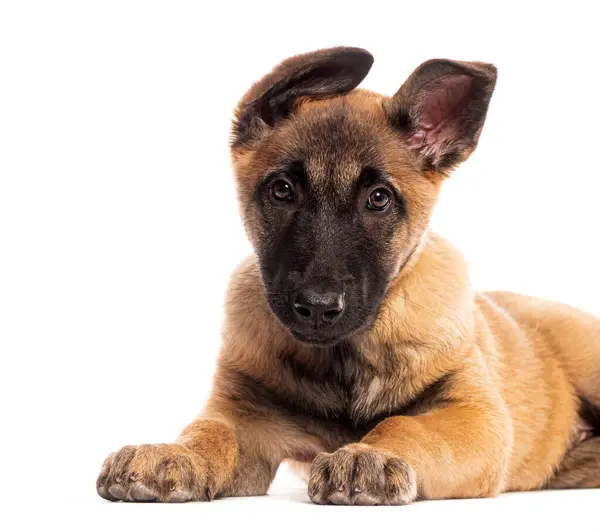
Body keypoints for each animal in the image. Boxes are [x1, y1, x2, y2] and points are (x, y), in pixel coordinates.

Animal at [97, 47, 600, 504]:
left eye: (378, 199)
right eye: (282, 190)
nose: (318, 308)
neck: (344, 360)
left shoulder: (476, 418)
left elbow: (404, 425)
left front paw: (368, 456)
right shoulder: (245, 415)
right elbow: (208, 431)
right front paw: (171, 453)